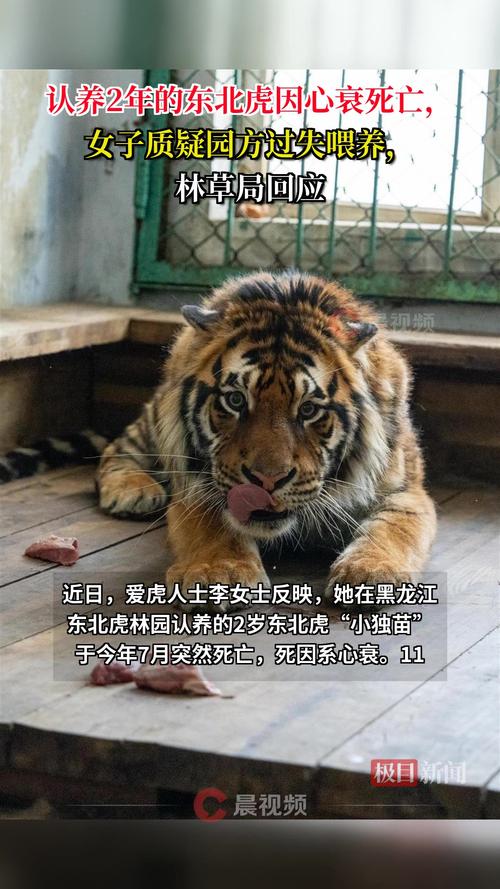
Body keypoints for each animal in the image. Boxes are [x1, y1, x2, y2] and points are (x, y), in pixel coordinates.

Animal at [97, 271, 437, 609]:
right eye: (235, 400)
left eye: (308, 409)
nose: (267, 481)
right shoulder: (197, 484)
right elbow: (215, 522)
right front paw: (218, 573)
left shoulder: (405, 491)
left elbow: (394, 528)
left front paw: (369, 572)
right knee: (118, 447)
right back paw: (134, 491)